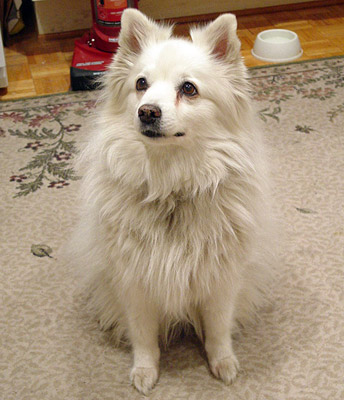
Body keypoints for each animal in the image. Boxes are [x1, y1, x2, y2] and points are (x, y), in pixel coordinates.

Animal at [71, 8, 272, 394]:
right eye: (141, 84)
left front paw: (222, 362)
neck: (170, 184)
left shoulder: (220, 280)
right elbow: (143, 336)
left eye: (188, 89)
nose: (147, 111)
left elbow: (218, 328)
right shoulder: (134, 281)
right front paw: (145, 370)